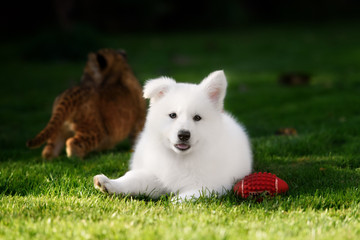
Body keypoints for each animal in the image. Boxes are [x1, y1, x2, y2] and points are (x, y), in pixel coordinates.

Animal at [93, 70, 252, 202]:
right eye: (172, 115)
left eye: (197, 118)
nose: (183, 135)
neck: (179, 159)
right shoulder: (156, 175)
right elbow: (134, 178)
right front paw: (110, 184)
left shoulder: (212, 184)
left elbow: (193, 193)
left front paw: (176, 201)